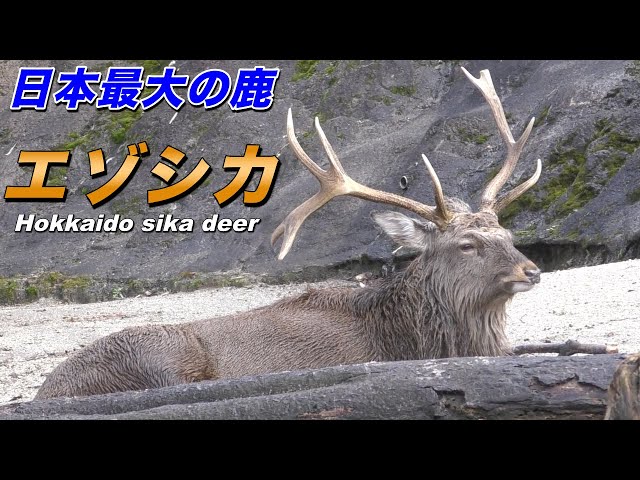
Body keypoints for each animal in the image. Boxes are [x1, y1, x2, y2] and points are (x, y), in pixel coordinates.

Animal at [35, 67, 544, 400]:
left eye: (507, 234)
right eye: (467, 245)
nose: (532, 270)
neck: (410, 339)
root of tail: (45, 391)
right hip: (158, 355)